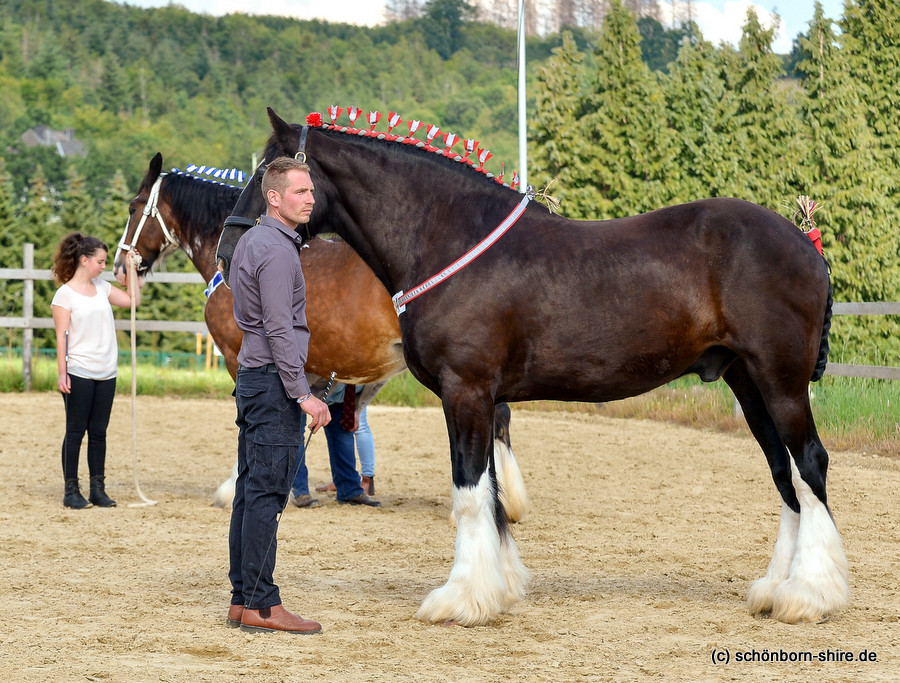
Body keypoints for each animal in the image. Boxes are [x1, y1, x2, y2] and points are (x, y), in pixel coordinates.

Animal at [216, 108, 844, 632]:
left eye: (268, 170)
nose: (228, 248)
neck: (449, 238)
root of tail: (805, 243)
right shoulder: (486, 400)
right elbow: (492, 495)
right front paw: (501, 588)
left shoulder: (466, 392)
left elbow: (470, 493)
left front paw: (461, 600)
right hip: (749, 384)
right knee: (785, 475)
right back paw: (775, 589)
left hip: (780, 383)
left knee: (809, 466)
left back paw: (810, 595)